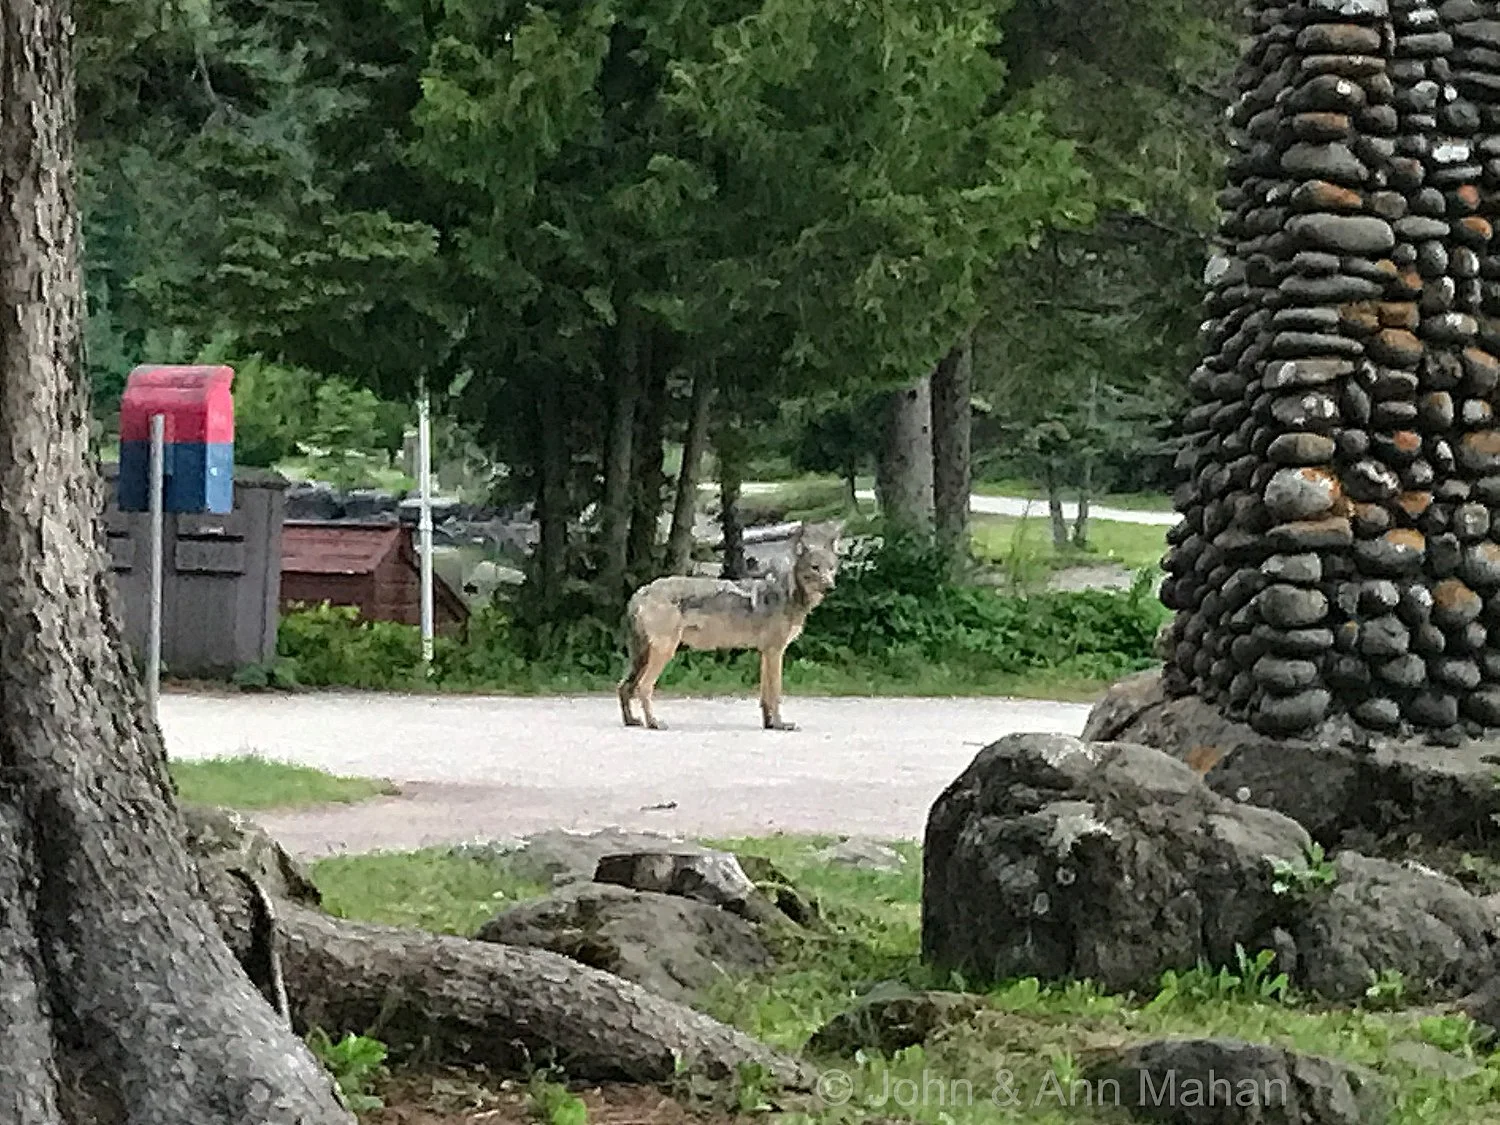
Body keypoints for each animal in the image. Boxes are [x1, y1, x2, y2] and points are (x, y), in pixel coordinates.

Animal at [618, 520, 844, 731]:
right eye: (815, 568)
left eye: (831, 569)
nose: (831, 587)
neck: (789, 595)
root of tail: (643, 590)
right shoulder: (775, 652)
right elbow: (775, 694)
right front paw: (781, 724)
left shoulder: (766, 653)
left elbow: (765, 697)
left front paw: (769, 724)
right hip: (664, 652)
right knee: (643, 687)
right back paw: (653, 723)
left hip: (642, 656)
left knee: (623, 686)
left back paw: (632, 721)